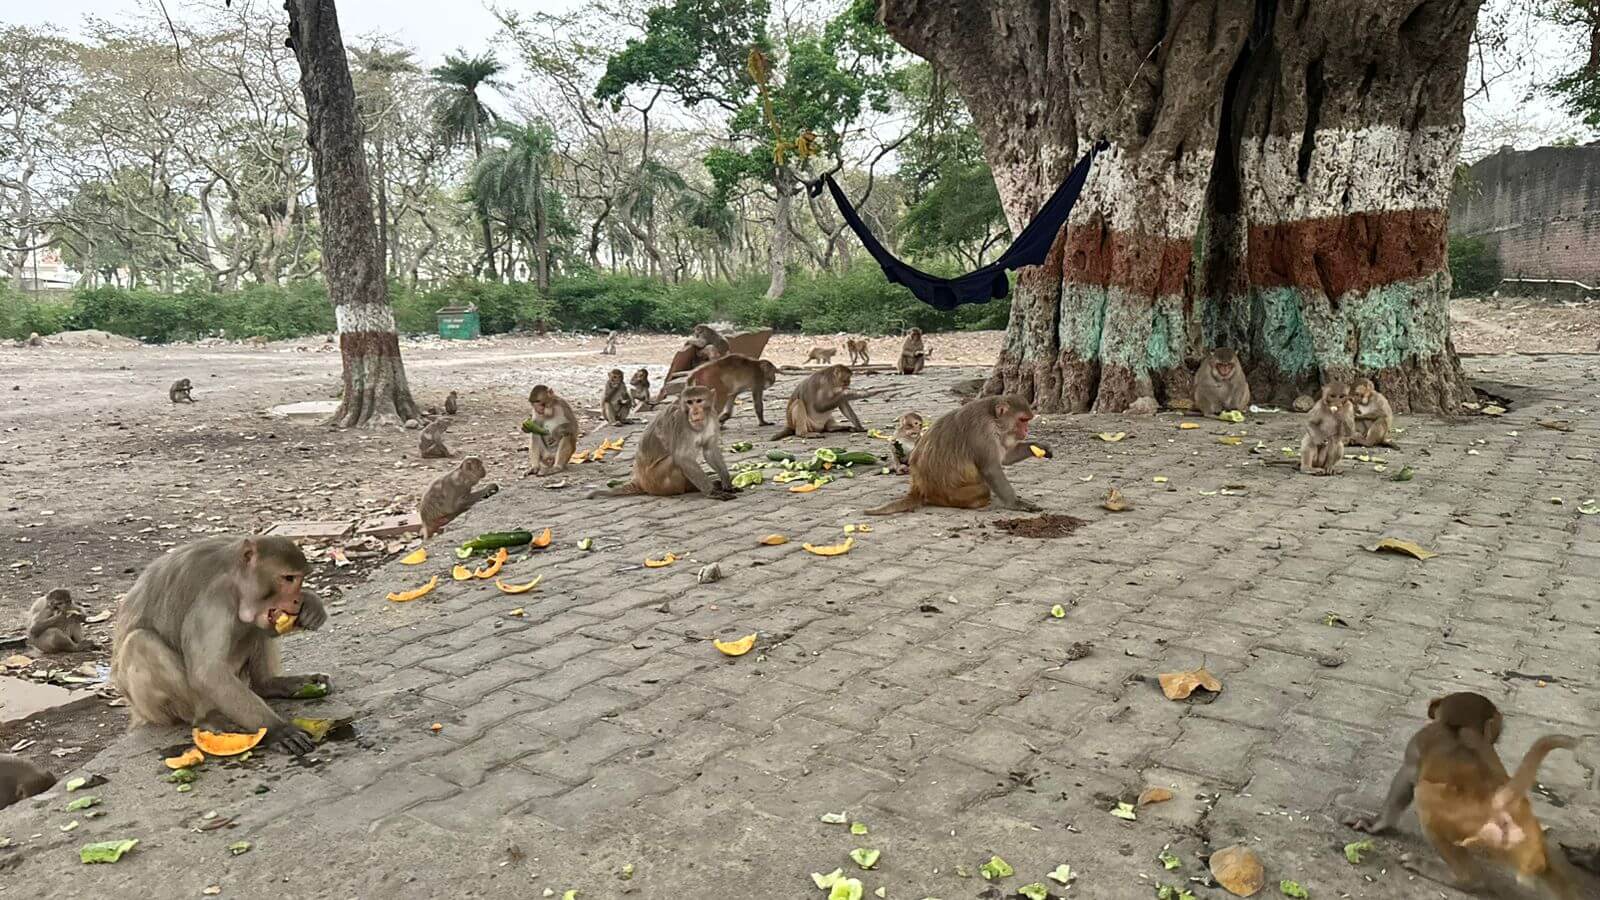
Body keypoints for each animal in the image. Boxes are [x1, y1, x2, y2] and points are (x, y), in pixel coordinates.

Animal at [111, 535, 331, 756]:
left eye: (300, 579)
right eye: (288, 578)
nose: (296, 600)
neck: (236, 578)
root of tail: (136, 711)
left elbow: (267, 628)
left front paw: (311, 604)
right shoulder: (214, 600)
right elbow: (208, 672)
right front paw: (277, 729)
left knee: (252, 628)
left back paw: (269, 684)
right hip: (153, 709)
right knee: (140, 641)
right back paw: (206, 717)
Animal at [587, 385, 735, 500]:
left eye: (699, 401)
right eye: (689, 402)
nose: (695, 412)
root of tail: (639, 482)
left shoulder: (713, 418)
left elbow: (710, 450)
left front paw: (726, 480)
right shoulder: (681, 424)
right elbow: (682, 458)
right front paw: (712, 492)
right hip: (656, 482)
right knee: (674, 460)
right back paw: (689, 489)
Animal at [866, 395, 1049, 515]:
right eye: (1023, 420)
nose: (1026, 430)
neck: (994, 420)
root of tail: (919, 488)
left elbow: (1006, 458)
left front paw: (1040, 447)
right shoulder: (983, 433)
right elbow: (991, 469)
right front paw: (1015, 503)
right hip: (948, 495)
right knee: (983, 488)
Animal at [1345, 692, 1580, 899]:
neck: (1458, 725)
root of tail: (1501, 801)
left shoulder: (1417, 744)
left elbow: (1406, 777)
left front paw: (1375, 824)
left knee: (1424, 794)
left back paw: (1455, 875)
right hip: (1529, 841)